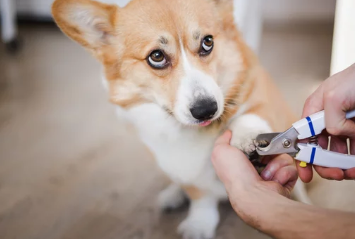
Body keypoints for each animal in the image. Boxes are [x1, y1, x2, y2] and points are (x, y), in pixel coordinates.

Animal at [51, 0, 310, 238]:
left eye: (208, 42)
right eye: (156, 56)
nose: (207, 109)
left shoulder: (262, 95)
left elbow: (251, 114)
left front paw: (246, 136)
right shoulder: (179, 163)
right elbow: (200, 195)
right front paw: (199, 223)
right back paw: (173, 194)